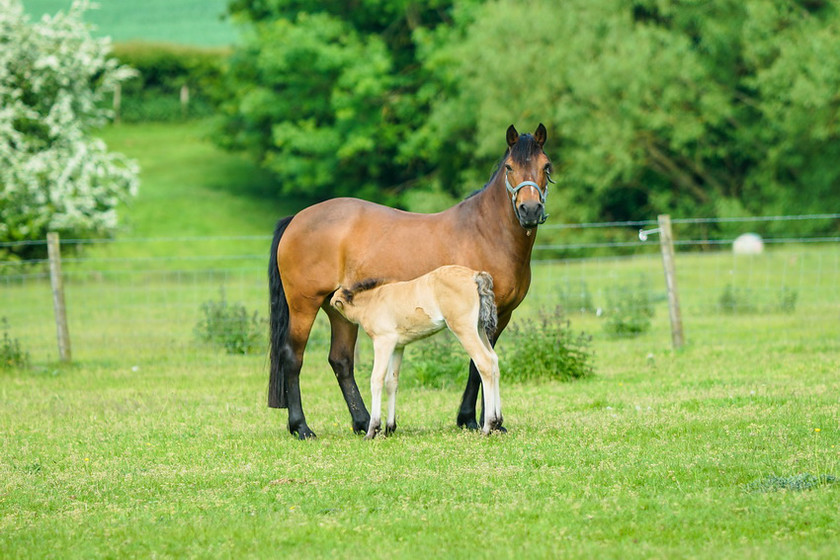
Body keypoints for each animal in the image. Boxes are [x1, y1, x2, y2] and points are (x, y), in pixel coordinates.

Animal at [332, 264, 502, 440]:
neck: (373, 300)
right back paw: (497, 422)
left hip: (464, 329)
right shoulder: (398, 347)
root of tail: (475, 275)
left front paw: (372, 430)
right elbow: (391, 382)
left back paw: (487, 426)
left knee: (484, 362)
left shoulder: (383, 342)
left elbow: (376, 380)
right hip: (480, 329)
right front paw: (389, 428)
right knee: (494, 361)